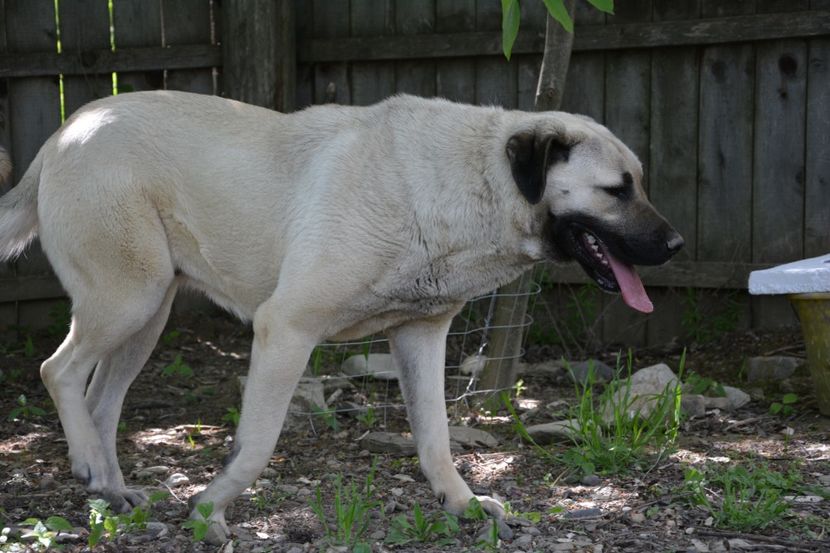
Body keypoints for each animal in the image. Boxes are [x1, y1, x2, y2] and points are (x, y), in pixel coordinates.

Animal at [0, 92, 684, 540]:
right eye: (617, 191)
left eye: (641, 183)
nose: (676, 245)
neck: (467, 181)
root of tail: (64, 132)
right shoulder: (285, 328)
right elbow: (255, 445)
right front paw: (210, 510)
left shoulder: (421, 335)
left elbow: (435, 440)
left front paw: (460, 505)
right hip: (128, 299)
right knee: (58, 370)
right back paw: (90, 466)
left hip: (147, 314)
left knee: (100, 401)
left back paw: (109, 486)